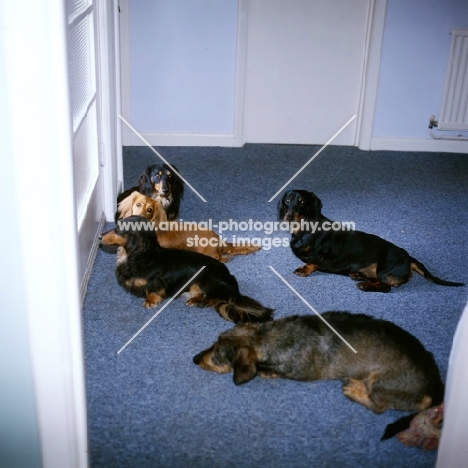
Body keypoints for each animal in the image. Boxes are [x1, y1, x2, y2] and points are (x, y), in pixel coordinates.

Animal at [99, 217, 274, 324]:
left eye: (119, 229)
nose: (99, 237)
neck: (142, 256)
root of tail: (232, 286)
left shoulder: (156, 283)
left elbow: (152, 291)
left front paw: (150, 301)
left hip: (203, 281)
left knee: (214, 299)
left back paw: (196, 301)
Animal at [192, 312, 444, 440]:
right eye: (214, 342)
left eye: (217, 354)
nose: (194, 359)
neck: (270, 337)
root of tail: (435, 388)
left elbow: (270, 371)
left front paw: (266, 371)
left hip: (378, 382)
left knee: (378, 406)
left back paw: (354, 389)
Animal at [278, 189, 464, 292]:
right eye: (287, 200)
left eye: (302, 202)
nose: (288, 217)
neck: (304, 228)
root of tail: (408, 257)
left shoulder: (322, 255)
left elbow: (313, 262)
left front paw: (304, 269)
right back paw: (360, 276)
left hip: (384, 270)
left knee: (387, 287)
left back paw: (365, 285)